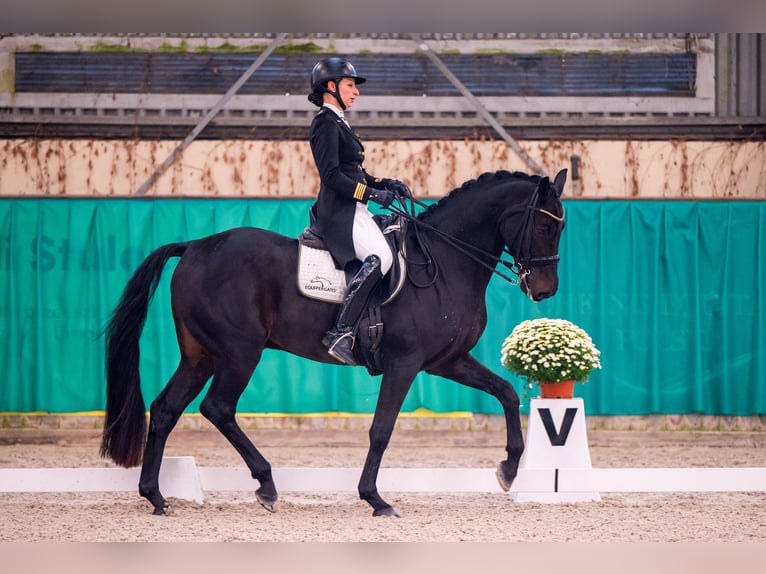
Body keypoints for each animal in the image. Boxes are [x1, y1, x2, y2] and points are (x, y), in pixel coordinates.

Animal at [102, 169, 568, 520]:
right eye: (545, 225)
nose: (544, 290)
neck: (443, 263)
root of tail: (194, 246)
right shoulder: (405, 363)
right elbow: (381, 429)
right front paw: (375, 499)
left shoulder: (447, 361)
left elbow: (506, 393)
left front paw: (509, 469)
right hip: (239, 352)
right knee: (217, 407)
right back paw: (266, 485)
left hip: (200, 355)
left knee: (166, 409)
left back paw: (156, 496)